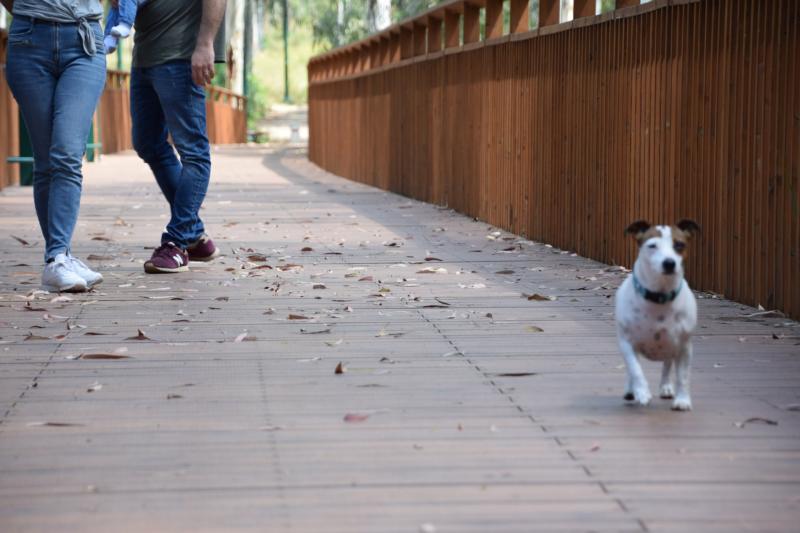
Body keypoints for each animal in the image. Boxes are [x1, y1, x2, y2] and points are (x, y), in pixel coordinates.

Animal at [612, 218, 700, 410]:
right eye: (652, 245)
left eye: (679, 245)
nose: (669, 263)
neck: (659, 297)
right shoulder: (627, 343)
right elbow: (635, 369)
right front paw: (642, 392)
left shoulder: (684, 347)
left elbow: (683, 376)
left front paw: (682, 400)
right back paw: (631, 390)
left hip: (670, 347)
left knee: (667, 366)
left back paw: (666, 387)